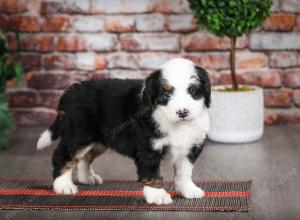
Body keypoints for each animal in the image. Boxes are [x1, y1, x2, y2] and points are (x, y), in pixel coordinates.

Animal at [37, 58, 211, 205]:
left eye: (192, 90)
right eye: (166, 93)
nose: (183, 112)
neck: (178, 125)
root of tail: (74, 89)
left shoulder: (191, 147)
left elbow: (184, 172)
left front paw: (188, 189)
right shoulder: (147, 147)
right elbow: (151, 172)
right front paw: (158, 195)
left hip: (98, 140)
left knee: (85, 157)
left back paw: (87, 178)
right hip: (79, 134)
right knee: (63, 155)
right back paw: (63, 185)